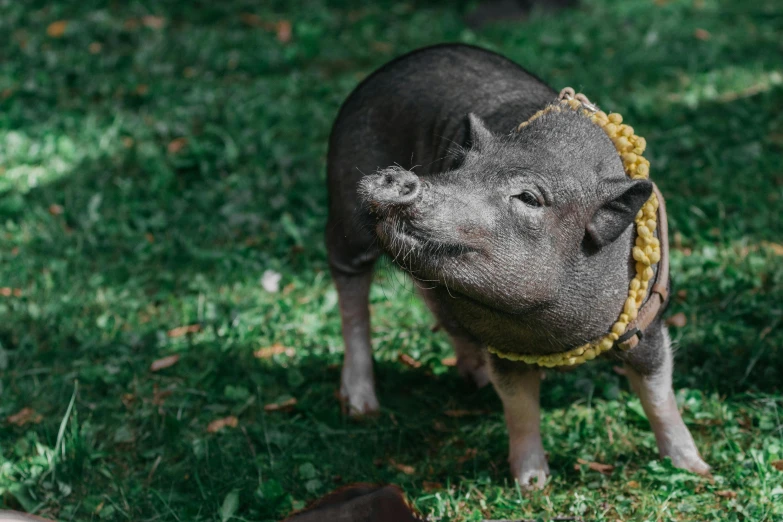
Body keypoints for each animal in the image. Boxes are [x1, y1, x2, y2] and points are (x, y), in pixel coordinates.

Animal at [324, 44, 712, 488]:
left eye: (528, 197)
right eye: (457, 168)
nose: (399, 177)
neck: (554, 338)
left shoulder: (647, 320)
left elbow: (659, 395)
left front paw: (696, 468)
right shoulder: (505, 348)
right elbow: (520, 408)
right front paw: (532, 486)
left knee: (434, 301)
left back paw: (473, 379)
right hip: (344, 215)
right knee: (352, 296)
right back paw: (361, 408)